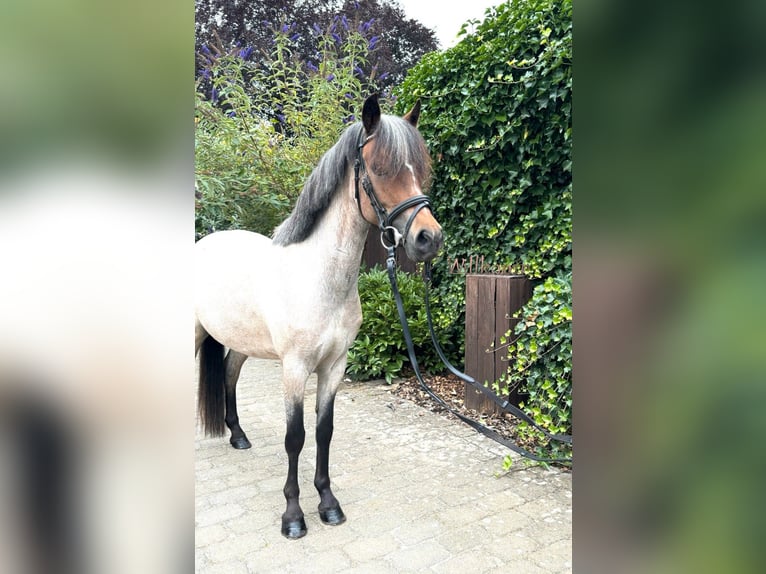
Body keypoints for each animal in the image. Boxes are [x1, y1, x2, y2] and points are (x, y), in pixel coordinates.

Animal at [194, 94, 444, 540]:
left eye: (421, 168)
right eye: (381, 169)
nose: (428, 239)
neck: (320, 278)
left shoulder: (334, 366)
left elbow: (324, 431)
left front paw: (328, 504)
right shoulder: (295, 368)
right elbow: (295, 436)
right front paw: (293, 516)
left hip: (242, 341)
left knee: (228, 375)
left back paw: (237, 436)